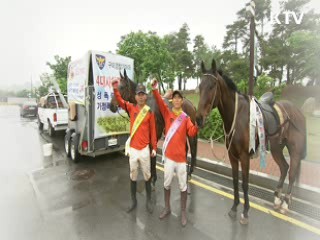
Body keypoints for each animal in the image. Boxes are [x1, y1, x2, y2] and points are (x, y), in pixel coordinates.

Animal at [196, 59, 306, 224]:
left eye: (212, 86)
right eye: (200, 86)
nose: (199, 119)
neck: (237, 117)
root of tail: (297, 111)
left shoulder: (244, 156)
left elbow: (245, 184)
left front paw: (245, 212)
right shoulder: (232, 156)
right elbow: (235, 181)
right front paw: (234, 207)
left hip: (295, 149)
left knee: (292, 172)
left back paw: (285, 204)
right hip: (276, 148)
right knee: (284, 167)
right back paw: (277, 200)